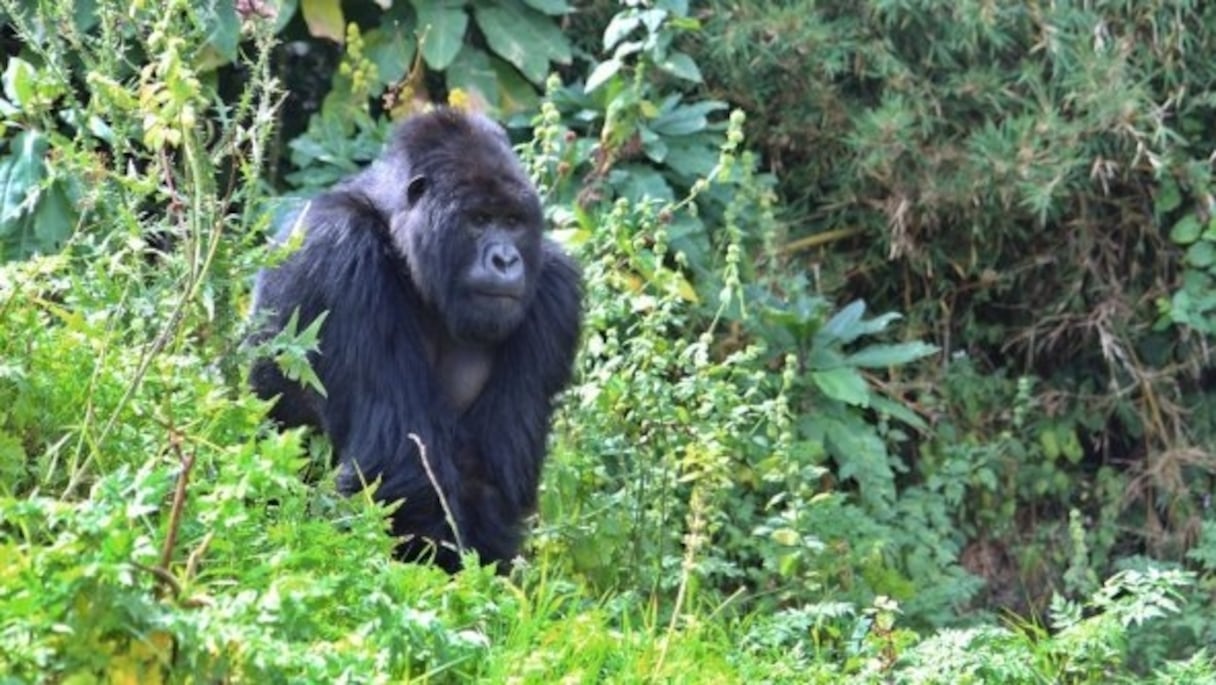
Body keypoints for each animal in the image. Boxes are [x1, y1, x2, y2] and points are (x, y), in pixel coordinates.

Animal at [249, 108, 581, 574]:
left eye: (513, 223)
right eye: (480, 220)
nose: (505, 259)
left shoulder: (555, 291)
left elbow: (493, 477)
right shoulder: (339, 250)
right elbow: (395, 465)